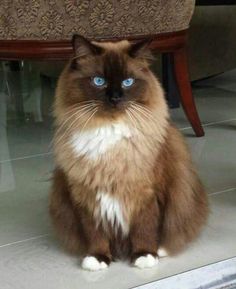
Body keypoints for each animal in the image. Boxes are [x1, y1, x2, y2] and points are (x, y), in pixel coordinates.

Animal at [50, 35, 208, 272]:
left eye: (128, 82)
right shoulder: (86, 196)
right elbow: (95, 234)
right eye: (99, 81)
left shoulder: (146, 194)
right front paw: (98, 258)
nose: (115, 97)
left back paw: (160, 250)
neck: (109, 133)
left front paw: (144, 256)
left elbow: (145, 229)